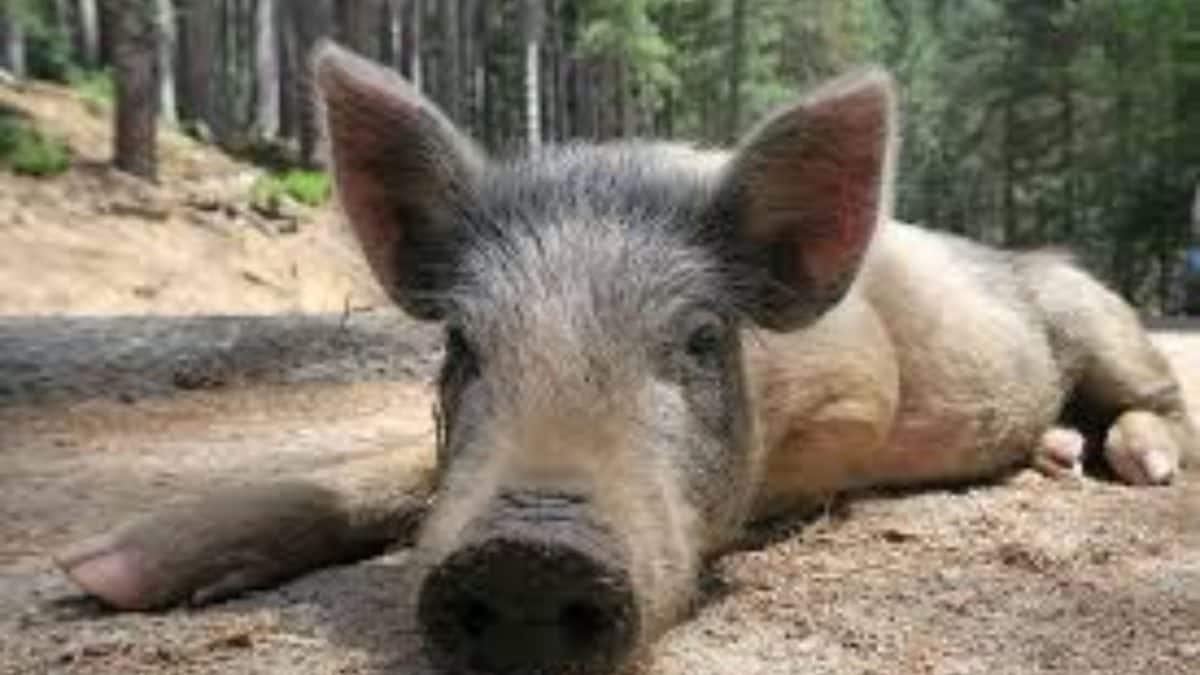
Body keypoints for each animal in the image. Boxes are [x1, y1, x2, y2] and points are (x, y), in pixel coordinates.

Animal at [56, 42, 1196, 675]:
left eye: (697, 340)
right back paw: (1056, 453)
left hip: (1098, 316)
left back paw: (1133, 465)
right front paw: (99, 575)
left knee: (1160, 398)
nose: (524, 557)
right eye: (462, 343)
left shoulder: (859, 395)